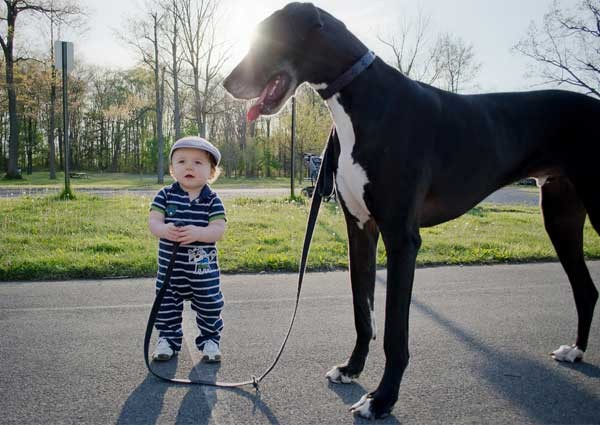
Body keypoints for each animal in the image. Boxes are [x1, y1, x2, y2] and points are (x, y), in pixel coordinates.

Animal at [223, 0, 596, 418]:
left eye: (266, 39)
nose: (226, 83)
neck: (361, 97)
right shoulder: (360, 230)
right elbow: (363, 312)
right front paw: (352, 369)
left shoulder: (402, 238)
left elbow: (393, 333)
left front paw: (382, 399)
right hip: (560, 216)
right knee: (586, 289)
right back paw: (576, 351)